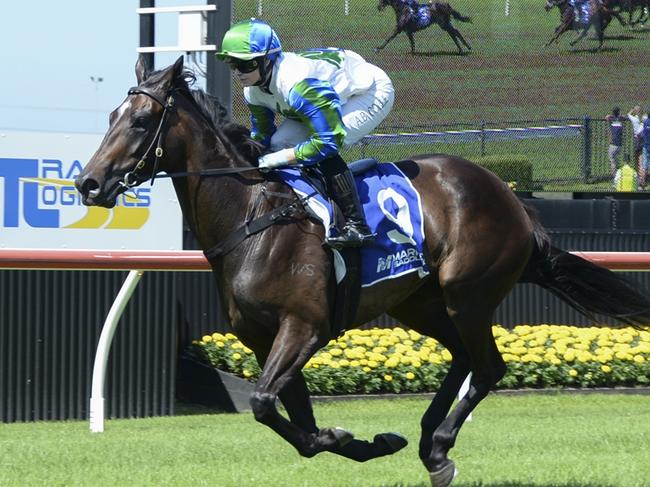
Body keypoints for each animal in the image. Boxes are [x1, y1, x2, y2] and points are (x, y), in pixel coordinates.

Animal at [73, 57, 648, 487]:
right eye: (111, 115)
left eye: (140, 122)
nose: (89, 183)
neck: (252, 217)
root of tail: (511, 198)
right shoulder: (263, 338)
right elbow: (290, 418)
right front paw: (361, 441)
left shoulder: (304, 326)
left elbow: (262, 402)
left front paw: (347, 436)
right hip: (418, 302)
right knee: (464, 358)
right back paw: (427, 441)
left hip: (467, 293)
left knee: (487, 367)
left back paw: (440, 447)